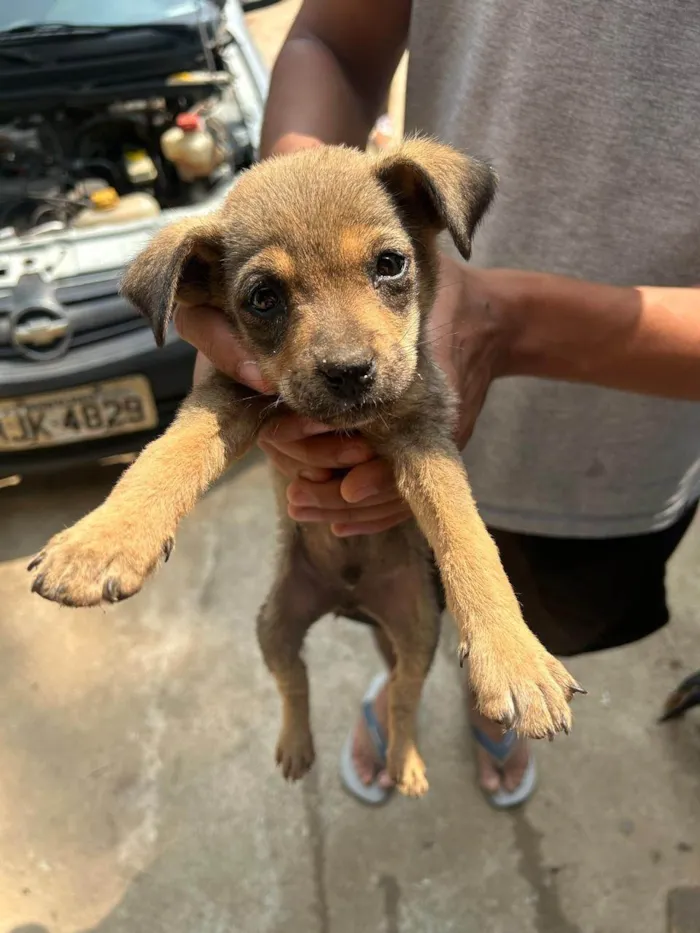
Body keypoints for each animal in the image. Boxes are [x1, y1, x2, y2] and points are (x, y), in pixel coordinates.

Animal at [27, 138, 584, 792]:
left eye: (390, 264)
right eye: (263, 298)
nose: (349, 373)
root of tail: (348, 599)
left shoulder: (425, 434)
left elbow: (467, 536)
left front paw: (515, 659)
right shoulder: (229, 394)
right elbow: (166, 455)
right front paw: (101, 542)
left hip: (417, 630)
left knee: (403, 696)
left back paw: (404, 760)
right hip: (276, 625)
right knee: (296, 684)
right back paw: (297, 746)